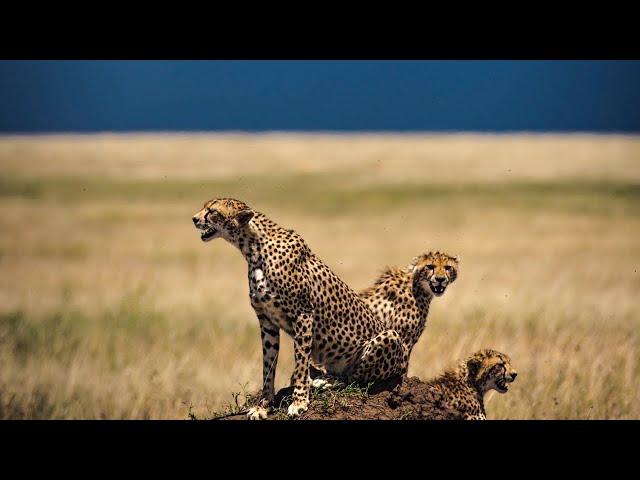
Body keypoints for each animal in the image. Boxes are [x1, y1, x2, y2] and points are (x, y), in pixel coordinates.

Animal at [192, 197, 408, 418]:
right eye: (204, 208)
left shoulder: (303, 314)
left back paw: (326, 381)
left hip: (390, 337)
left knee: (355, 379)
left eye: (212, 211)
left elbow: (301, 362)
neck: (253, 249)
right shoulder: (266, 320)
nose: (194, 219)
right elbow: (268, 365)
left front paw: (299, 402)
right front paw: (263, 405)